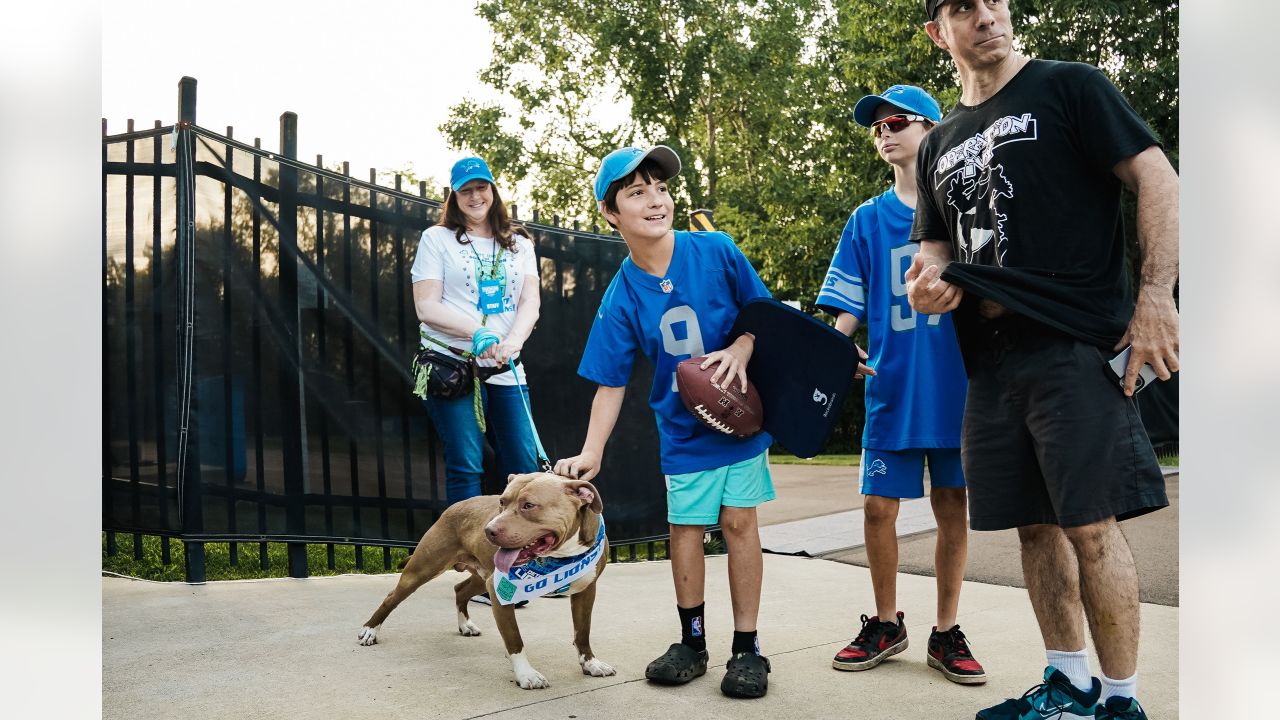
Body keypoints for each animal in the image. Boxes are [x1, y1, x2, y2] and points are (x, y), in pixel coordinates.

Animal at [353, 468, 611, 686]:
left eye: (529, 505)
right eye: (502, 502)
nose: (489, 530)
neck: (558, 558)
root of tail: (456, 505)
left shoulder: (586, 591)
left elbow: (582, 632)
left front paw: (591, 663)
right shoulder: (501, 591)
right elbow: (514, 639)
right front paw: (526, 674)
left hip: (481, 577)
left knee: (460, 589)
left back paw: (465, 624)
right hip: (423, 569)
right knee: (392, 597)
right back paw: (370, 630)